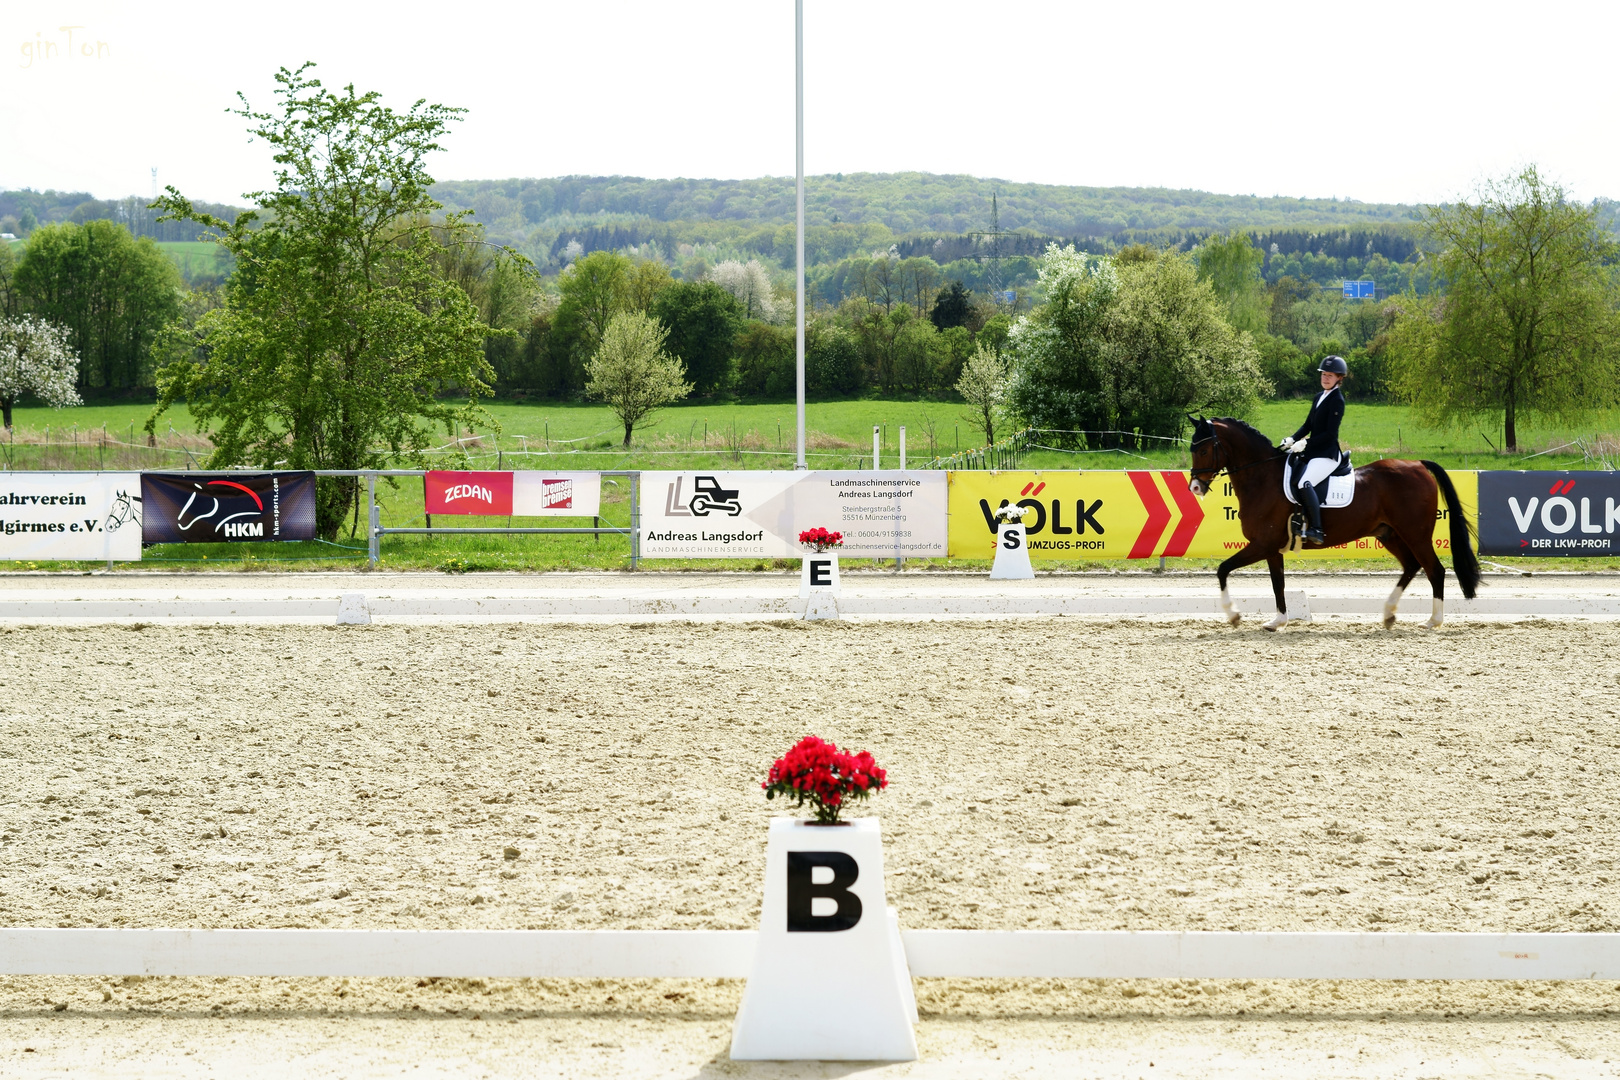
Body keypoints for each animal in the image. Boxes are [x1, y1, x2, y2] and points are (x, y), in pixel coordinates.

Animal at [1179, 417, 1483, 634]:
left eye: (1203, 449)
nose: (1194, 487)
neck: (1262, 477)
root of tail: (1418, 464)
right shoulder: (1272, 549)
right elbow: (1278, 584)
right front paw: (1278, 621)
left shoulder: (1262, 545)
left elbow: (1223, 569)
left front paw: (1233, 615)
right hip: (1390, 534)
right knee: (1411, 567)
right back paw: (1388, 613)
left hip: (1415, 534)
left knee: (1435, 570)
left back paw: (1433, 621)